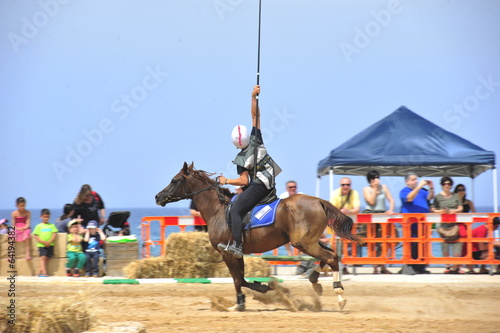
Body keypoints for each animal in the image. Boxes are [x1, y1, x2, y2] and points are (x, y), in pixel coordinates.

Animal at [154, 162, 362, 310]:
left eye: (174, 180)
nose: (158, 197)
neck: (218, 210)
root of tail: (319, 201)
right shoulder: (237, 253)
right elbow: (242, 278)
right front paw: (263, 288)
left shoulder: (227, 253)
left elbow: (238, 279)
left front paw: (240, 303)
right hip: (310, 241)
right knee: (331, 254)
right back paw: (315, 280)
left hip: (303, 243)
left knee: (331, 257)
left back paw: (339, 295)